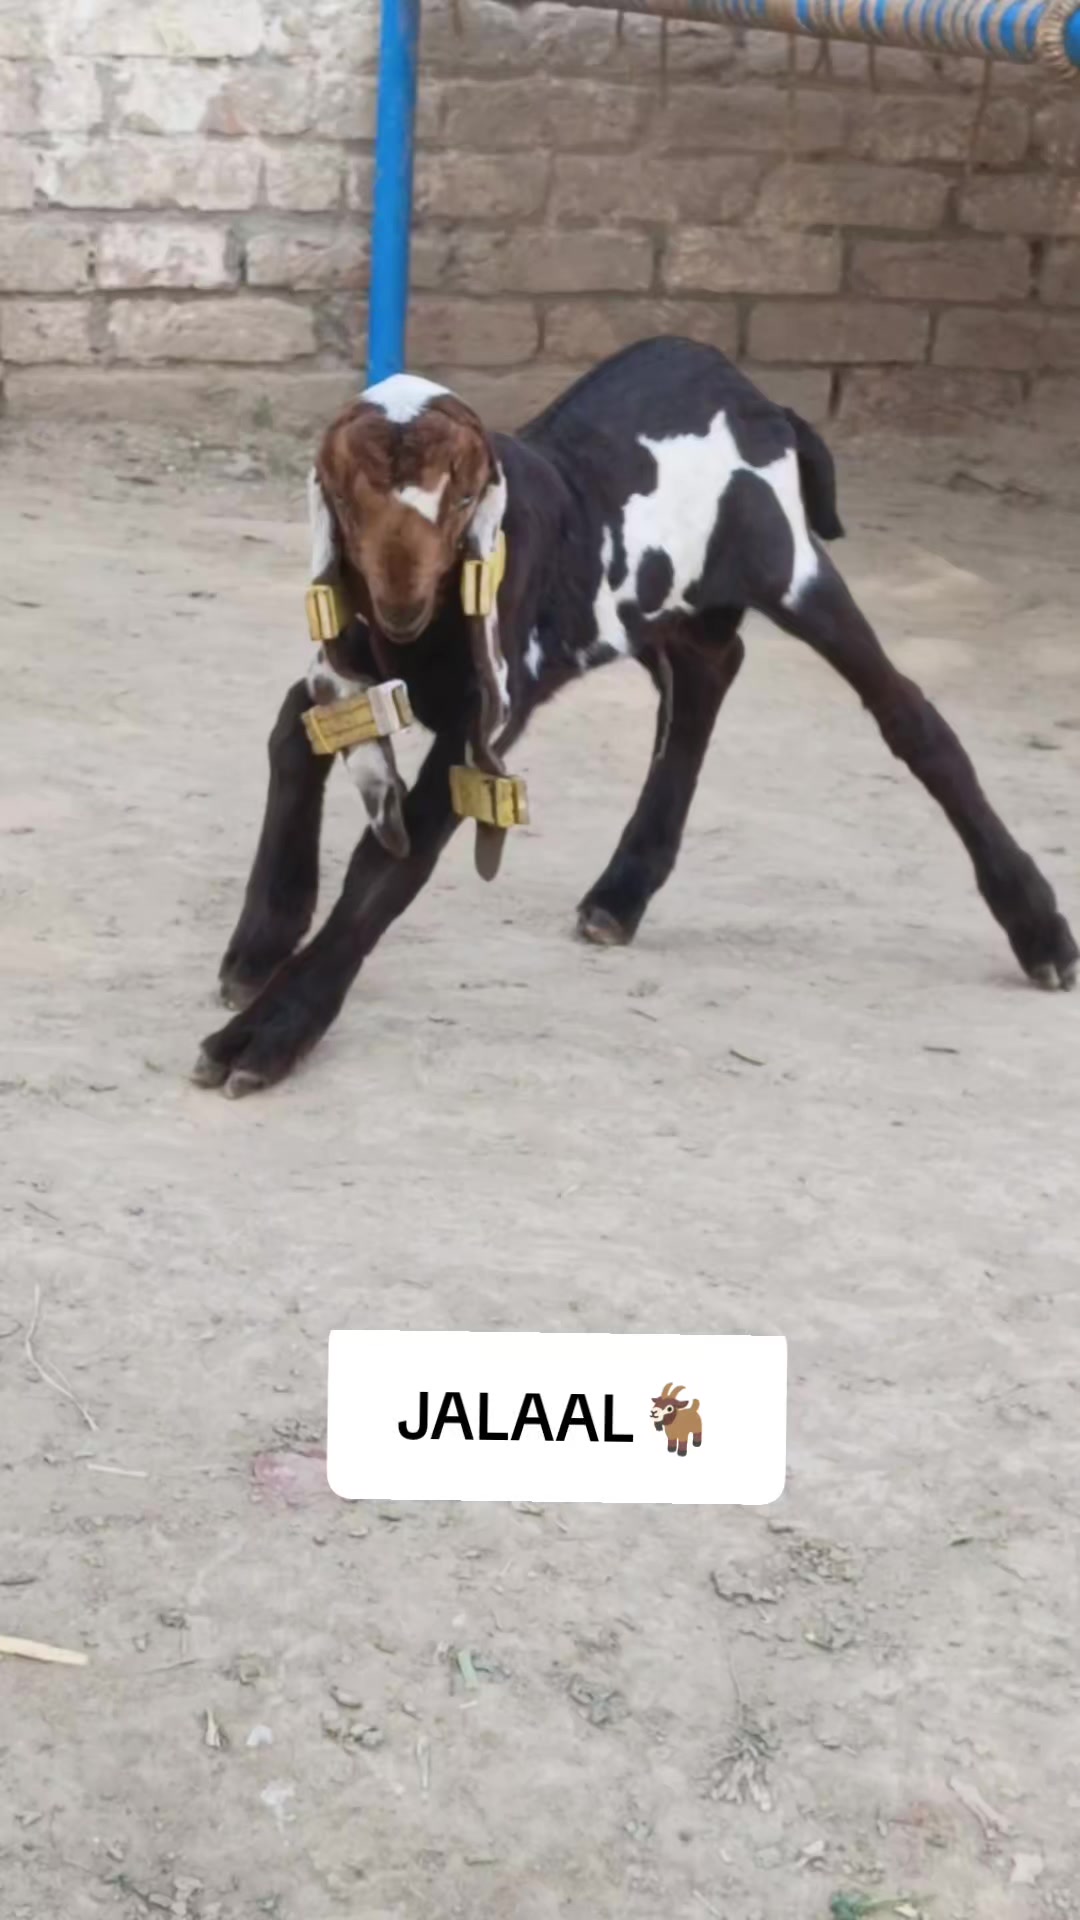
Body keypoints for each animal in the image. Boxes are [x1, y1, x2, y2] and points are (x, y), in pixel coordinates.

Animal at [194, 338, 1076, 1096]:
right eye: (343, 499)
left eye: (466, 498)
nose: (402, 608)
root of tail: (764, 404)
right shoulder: (356, 663)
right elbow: (295, 730)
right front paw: (261, 942)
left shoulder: (480, 718)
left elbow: (387, 865)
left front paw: (269, 1035)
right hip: (653, 609)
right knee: (707, 675)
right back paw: (622, 891)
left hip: (791, 568)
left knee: (907, 714)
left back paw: (1039, 930)